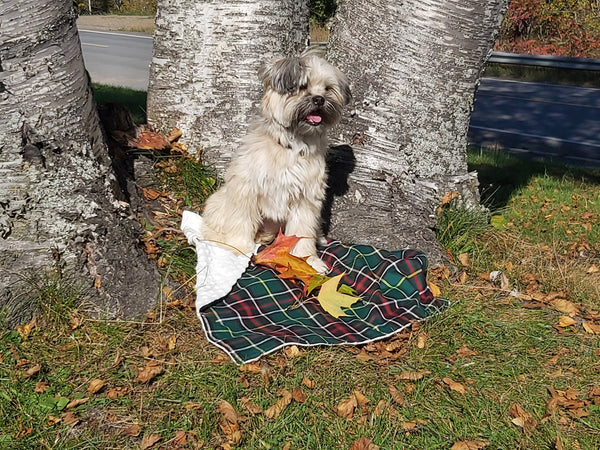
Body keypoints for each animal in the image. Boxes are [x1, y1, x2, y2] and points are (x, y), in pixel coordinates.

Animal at [202, 51, 352, 272]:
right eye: (302, 86)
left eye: (328, 88)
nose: (319, 99)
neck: (292, 145)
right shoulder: (245, 188)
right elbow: (241, 222)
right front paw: (238, 251)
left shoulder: (306, 199)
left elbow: (302, 234)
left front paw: (308, 261)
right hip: (219, 202)